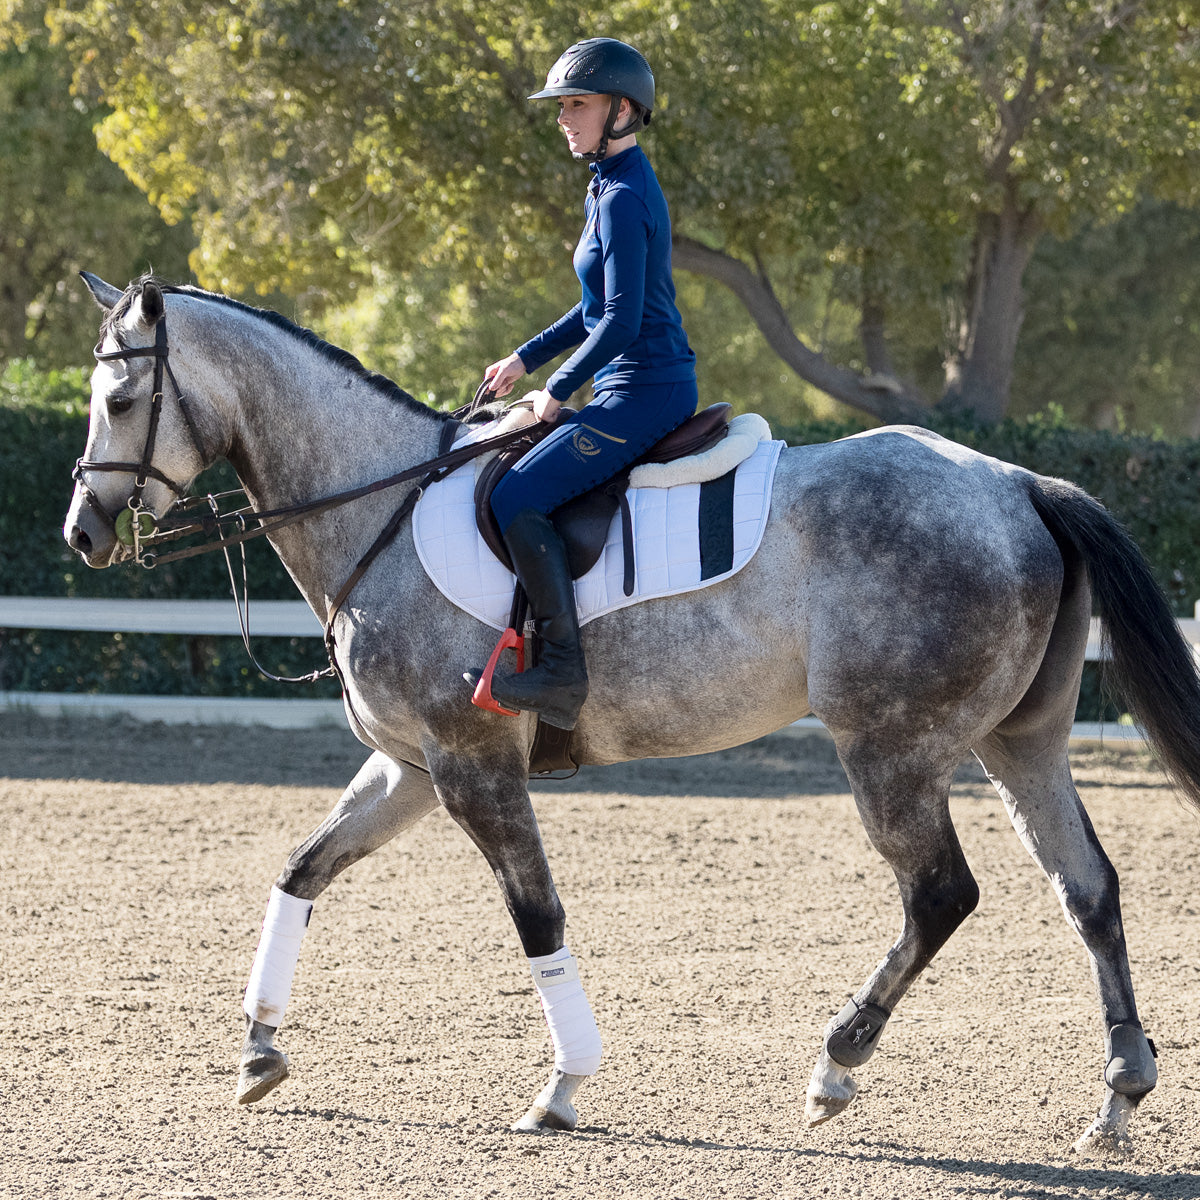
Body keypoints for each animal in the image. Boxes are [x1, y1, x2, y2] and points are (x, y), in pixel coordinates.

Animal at [60, 272, 1200, 1152]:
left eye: (120, 396)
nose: (81, 531)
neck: (378, 504)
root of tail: (1020, 483)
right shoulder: (412, 768)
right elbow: (302, 870)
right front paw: (258, 1048)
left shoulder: (472, 765)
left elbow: (537, 915)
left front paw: (563, 1087)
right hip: (1019, 743)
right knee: (1087, 888)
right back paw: (1118, 1095)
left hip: (891, 748)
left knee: (940, 895)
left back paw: (837, 1063)